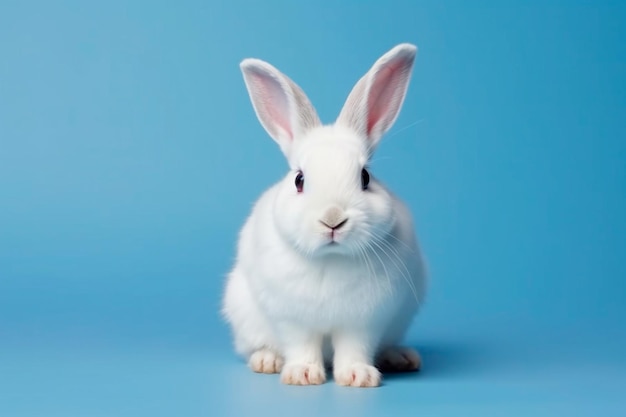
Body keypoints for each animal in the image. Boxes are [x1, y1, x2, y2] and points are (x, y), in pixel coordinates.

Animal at [222, 43, 426, 386]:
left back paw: (401, 357)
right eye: (299, 179)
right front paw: (302, 374)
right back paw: (267, 360)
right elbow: (301, 345)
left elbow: (355, 348)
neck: (331, 259)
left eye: (365, 177)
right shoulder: (292, 320)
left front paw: (358, 376)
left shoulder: (364, 321)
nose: (332, 219)